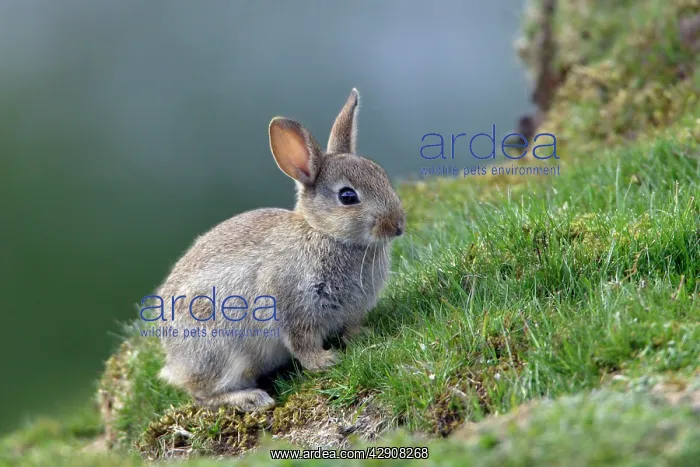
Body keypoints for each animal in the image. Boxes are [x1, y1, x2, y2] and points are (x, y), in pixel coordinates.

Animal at [155, 88, 405, 412]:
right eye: (348, 197)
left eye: (381, 175)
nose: (397, 225)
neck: (323, 233)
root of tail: (174, 363)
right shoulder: (292, 305)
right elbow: (302, 342)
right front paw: (326, 361)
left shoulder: (348, 312)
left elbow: (350, 328)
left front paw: (364, 337)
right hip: (220, 351)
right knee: (203, 395)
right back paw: (250, 398)